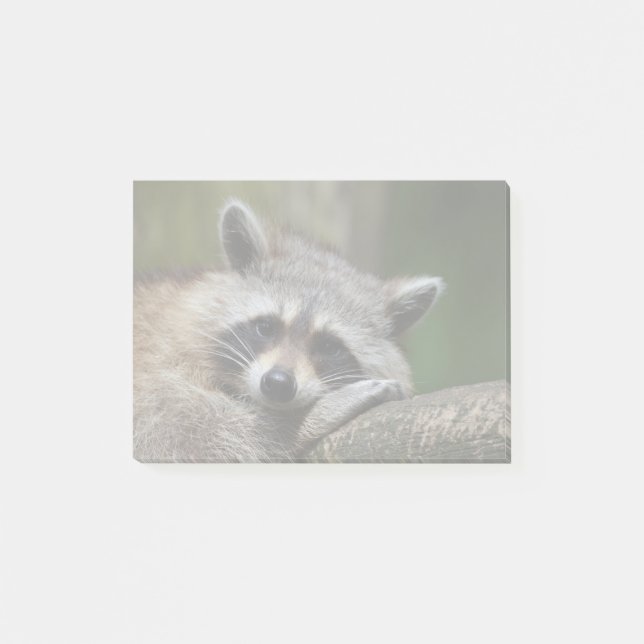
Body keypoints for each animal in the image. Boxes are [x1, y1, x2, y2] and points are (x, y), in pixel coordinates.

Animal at [133, 200, 444, 462]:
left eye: (329, 346)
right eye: (265, 327)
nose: (278, 383)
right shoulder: (154, 374)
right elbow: (187, 435)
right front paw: (305, 418)